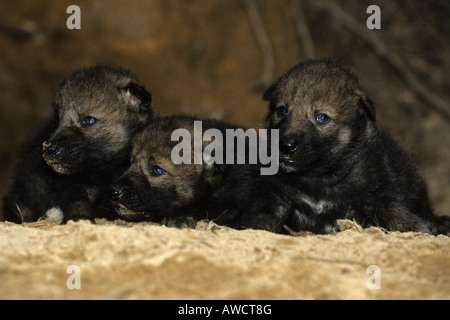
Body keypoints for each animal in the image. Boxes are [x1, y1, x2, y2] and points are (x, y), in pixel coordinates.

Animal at [1, 65, 154, 224]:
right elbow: (78, 201)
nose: (50, 149)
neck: (104, 170)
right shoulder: (70, 184)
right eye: (57, 120)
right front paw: (80, 219)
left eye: (89, 120)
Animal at [264, 59, 450, 235]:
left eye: (322, 117)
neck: (321, 177)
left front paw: (419, 228)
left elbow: (394, 212)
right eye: (282, 111)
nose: (286, 145)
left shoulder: (376, 195)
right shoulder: (279, 196)